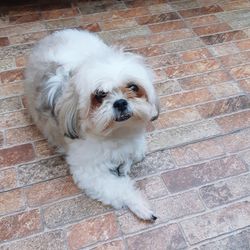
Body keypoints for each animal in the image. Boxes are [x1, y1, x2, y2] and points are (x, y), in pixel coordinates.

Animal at [24, 29, 159, 221]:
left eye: (133, 87)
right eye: (100, 95)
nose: (120, 103)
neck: (116, 134)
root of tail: (57, 34)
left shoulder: (137, 145)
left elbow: (133, 156)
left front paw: (124, 165)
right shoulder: (90, 172)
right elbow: (119, 188)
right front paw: (140, 205)